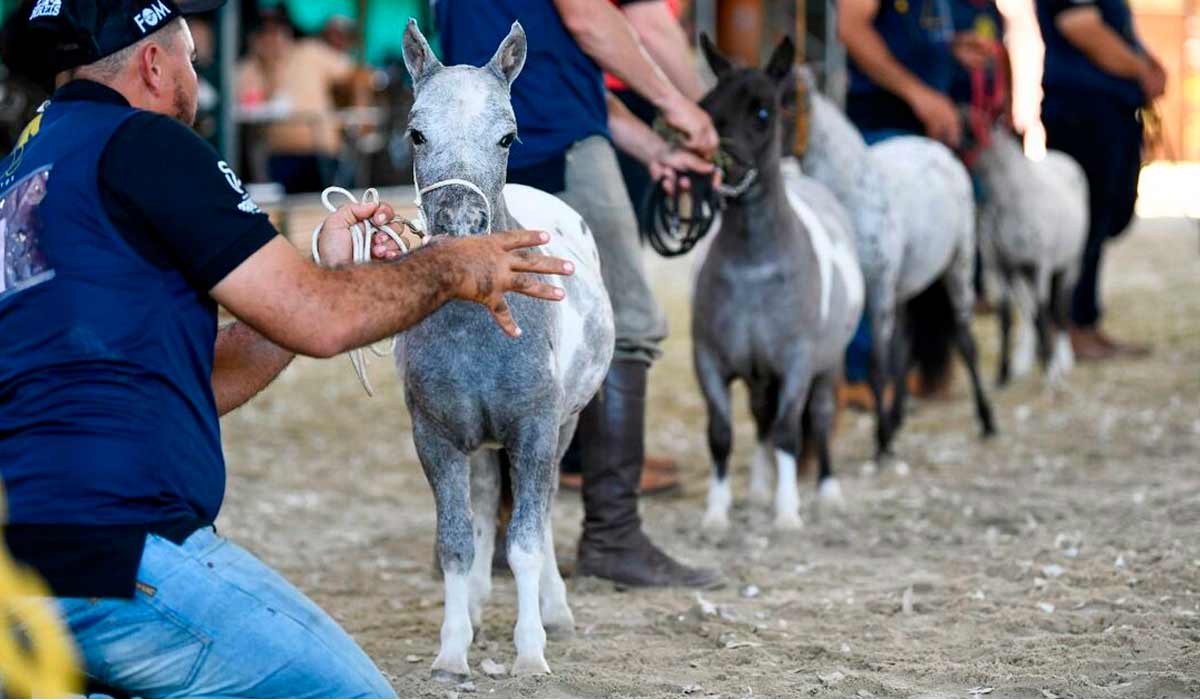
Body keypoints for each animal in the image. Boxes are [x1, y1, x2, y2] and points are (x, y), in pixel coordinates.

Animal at [398, 20, 614, 677]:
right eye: (417, 132)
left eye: (508, 134)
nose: (461, 226)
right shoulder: (436, 437)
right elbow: (456, 543)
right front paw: (451, 650)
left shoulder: (535, 431)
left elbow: (525, 543)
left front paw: (531, 652)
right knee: (486, 503)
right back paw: (473, 607)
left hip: (564, 427)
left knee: (541, 516)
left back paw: (556, 611)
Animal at [696, 36, 864, 530]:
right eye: (706, 106)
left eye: (763, 111)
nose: (721, 165)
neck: (754, 270)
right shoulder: (711, 362)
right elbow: (721, 433)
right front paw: (716, 513)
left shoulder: (795, 363)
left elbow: (790, 431)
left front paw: (788, 513)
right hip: (758, 375)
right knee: (760, 421)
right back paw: (756, 491)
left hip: (826, 365)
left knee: (819, 418)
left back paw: (826, 492)